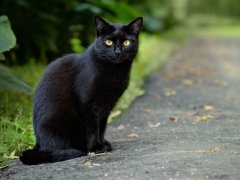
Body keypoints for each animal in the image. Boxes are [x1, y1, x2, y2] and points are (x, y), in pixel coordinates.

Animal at [20, 15, 142, 165]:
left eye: (126, 42)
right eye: (108, 42)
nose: (117, 52)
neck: (114, 71)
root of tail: (38, 144)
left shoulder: (106, 106)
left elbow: (102, 127)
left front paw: (102, 143)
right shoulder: (88, 104)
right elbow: (92, 128)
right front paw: (96, 147)